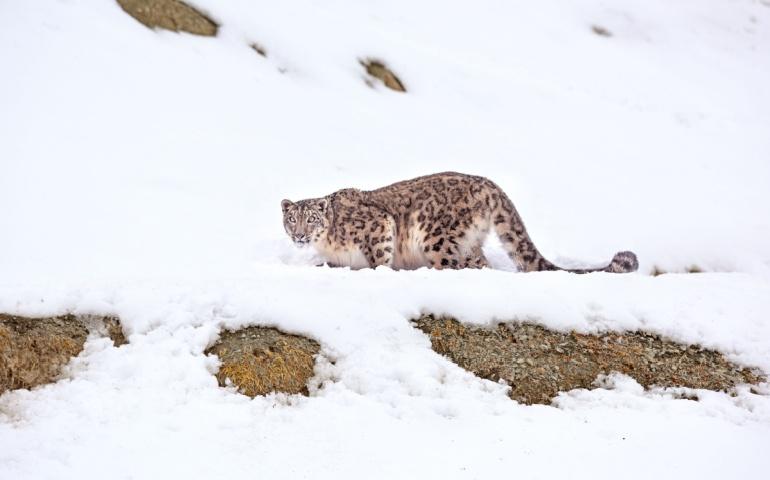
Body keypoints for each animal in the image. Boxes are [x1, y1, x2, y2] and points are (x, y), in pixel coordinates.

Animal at [280, 172, 638, 273]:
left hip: (436, 238)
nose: (299, 235)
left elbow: (379, 258)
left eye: (312, 219)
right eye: (291, 220)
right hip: (469, 243)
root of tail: (489, 185)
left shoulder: (378, 227)